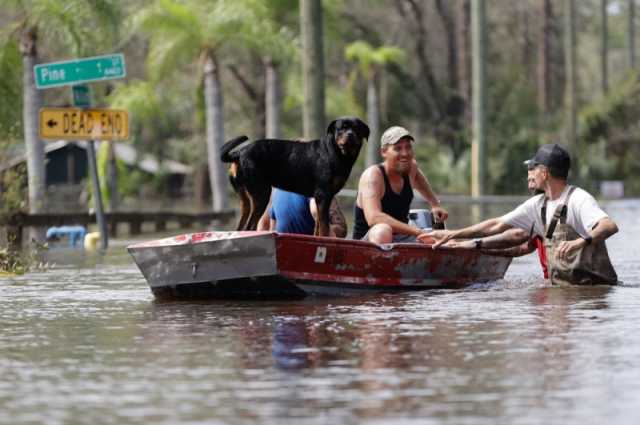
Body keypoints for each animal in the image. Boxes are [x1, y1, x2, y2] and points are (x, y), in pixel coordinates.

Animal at [221, 117, 368, 235]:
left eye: (357, 129)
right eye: (341, 128)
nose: (350, 134)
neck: (336, 152)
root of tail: (239, 153)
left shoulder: (322, 198)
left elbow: (318, 226)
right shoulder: (323, 195)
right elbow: (324, 226)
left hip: (244, 198)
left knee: (241, 226)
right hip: (261, 193)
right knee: (250, 226)